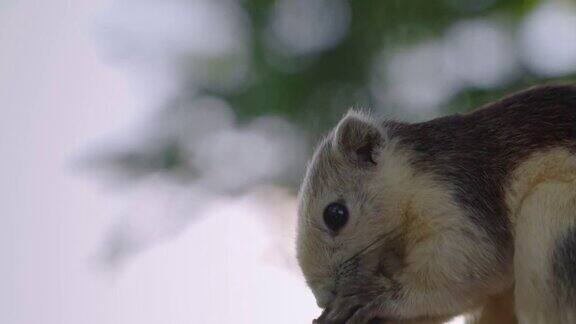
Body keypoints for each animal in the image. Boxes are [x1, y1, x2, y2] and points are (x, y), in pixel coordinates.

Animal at [296, 85, 576, 322]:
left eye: (335, 214)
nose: (323, 298)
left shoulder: (459, 204)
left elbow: (471, 269)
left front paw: (375, 295)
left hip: (549, 218)